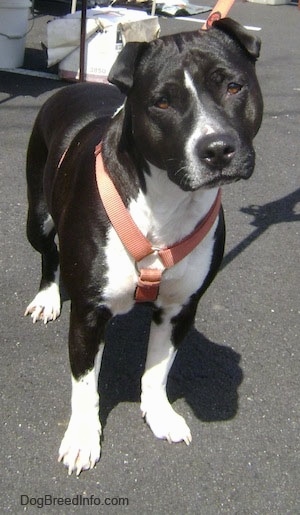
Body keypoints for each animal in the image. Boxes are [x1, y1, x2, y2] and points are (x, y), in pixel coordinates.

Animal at [25, 20, 262, 476]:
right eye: (162, 102)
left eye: (233, 86)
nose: (217, 148)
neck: (168, 201)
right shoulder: (88, 314)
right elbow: (86, 387)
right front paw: (83, 438)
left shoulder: (179, 308)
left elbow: (157, 369)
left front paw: (159, 414)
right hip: (38, 215)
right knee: (49, 252)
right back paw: (47, 298)